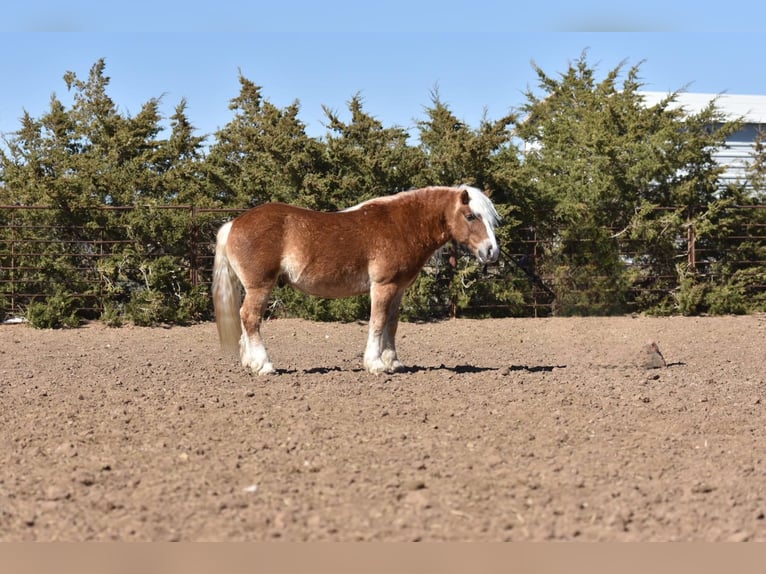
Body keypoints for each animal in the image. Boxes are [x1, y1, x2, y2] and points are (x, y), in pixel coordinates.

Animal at [214, 183, 504, 374]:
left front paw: (393, 362)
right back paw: (264, 365)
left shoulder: (398, 289)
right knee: (250, 318)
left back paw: (250, 363)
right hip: (260, 286)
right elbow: (377, 322)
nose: (492, 251)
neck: (401, 225)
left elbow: (391, 324)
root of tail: (233, 224)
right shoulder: (383, 287)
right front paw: (375, 364)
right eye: (471, 216)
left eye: (491, 220)